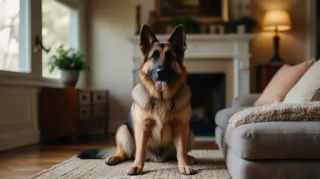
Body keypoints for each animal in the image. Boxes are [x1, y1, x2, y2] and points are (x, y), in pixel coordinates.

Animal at [79, 24, 196, 176]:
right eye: (154, 56)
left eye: (170, 56)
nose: (160, 72)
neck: (161, 99)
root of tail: (158, 159)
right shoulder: (143, 127)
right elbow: (140, 150)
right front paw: (137, 167)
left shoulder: (180, 127)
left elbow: (180, 151)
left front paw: (184, 165)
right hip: (123, 131)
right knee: (126, 153)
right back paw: (115, 157)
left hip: (190, 133)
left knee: (175, 154)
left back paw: (189, 158)